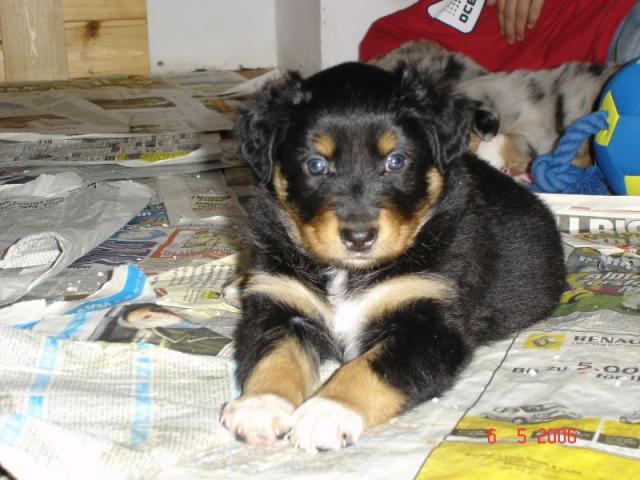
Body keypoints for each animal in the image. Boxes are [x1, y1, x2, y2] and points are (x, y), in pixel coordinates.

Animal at [219, 61, 567, 452]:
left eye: (396, 161)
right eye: (315, 165)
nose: (358, 237)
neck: (346, 272)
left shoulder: (430, 326)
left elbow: (370, 368)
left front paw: (327, 412)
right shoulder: (279, 306)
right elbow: (273, 356)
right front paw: (260, 406)